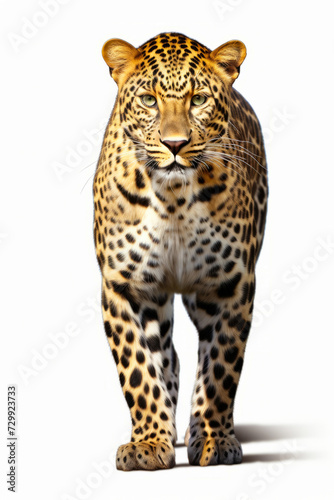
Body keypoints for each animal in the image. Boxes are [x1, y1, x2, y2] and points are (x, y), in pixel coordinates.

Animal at [92, 30, 268, 468]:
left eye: (199, 99)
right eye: (148, 100)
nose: (175, 144)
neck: (172, 195)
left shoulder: (230, 285)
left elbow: (221, 367)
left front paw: (213, 439)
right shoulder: (124, 285)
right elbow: (138, 367)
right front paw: (148, 442)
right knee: (167, 355)